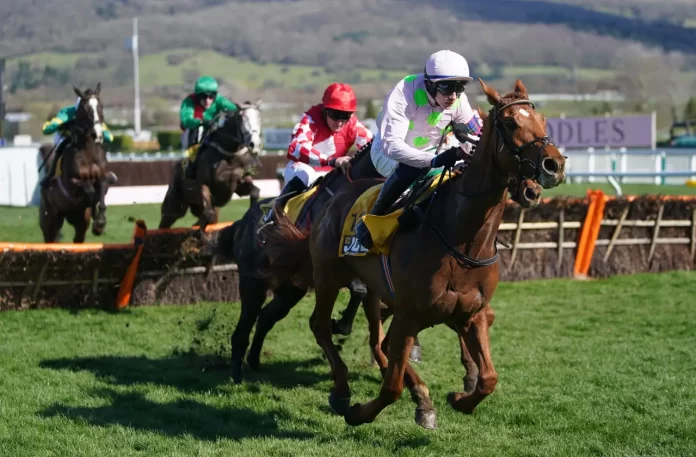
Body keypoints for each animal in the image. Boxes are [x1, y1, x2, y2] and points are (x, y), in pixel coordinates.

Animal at [39, 85, 113, 242]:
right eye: (86, 109)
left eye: (101, 106)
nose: (98, 135)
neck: (88, 150)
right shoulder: (72, 181)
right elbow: (89, 190)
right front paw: (97, 220)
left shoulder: (102, 176)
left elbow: (102, 187)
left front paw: (100, 222)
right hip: (50, 220)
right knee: (51, 238)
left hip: (79, 223)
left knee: (77, 238)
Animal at [159, 100, 262, 228]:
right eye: (242, 118)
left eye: (259, 118)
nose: (255, 144)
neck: (230, 155)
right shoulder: (204, 185)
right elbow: (208, 211)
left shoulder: (240, 185)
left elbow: (255, 191)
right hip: (174, 207)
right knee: (167, 221)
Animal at [260, 79, 564, 428]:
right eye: (512, 123)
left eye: (542, 120)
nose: (554, 166)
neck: (462, 240)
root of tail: (330, 201)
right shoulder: (408, 314)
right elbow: (391, 386)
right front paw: (363, 412)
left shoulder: (471, 313)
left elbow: (489, 378)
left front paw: (458, 398)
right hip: (328, 275)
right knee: (320, 325)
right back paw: (342, 390)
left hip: (371, 288)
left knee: (373, 336)